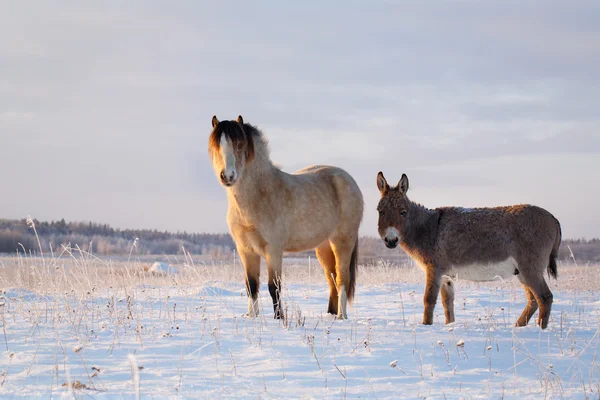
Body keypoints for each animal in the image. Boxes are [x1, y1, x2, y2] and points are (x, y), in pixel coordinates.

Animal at [209, 115, 364, 318]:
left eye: (239, 145)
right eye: (216, 146)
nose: (227, 176)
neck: (258, 196)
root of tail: (349, 179)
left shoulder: (273, 250)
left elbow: (273, 287)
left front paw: (279, 318)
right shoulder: (246, 250)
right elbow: (252, 286)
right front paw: (252, 317)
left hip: (342, 242)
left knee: (342, 278)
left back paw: (341, 316)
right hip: (323, 246)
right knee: (331, 279)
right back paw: (331, 314)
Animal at [376, 172, 564, 328]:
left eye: (403, 212)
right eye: (380, 212)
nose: (391, 240)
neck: (428, 228)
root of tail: (553, 217)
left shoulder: (434, 269)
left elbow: (429, 300)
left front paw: (426, 327)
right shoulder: (446, 277)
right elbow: (447, 303)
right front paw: (449, 326)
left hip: (530, 268)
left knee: (544, 297)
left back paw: (540, 331)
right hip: (522, 272)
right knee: (533, 300)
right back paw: (518, 327)